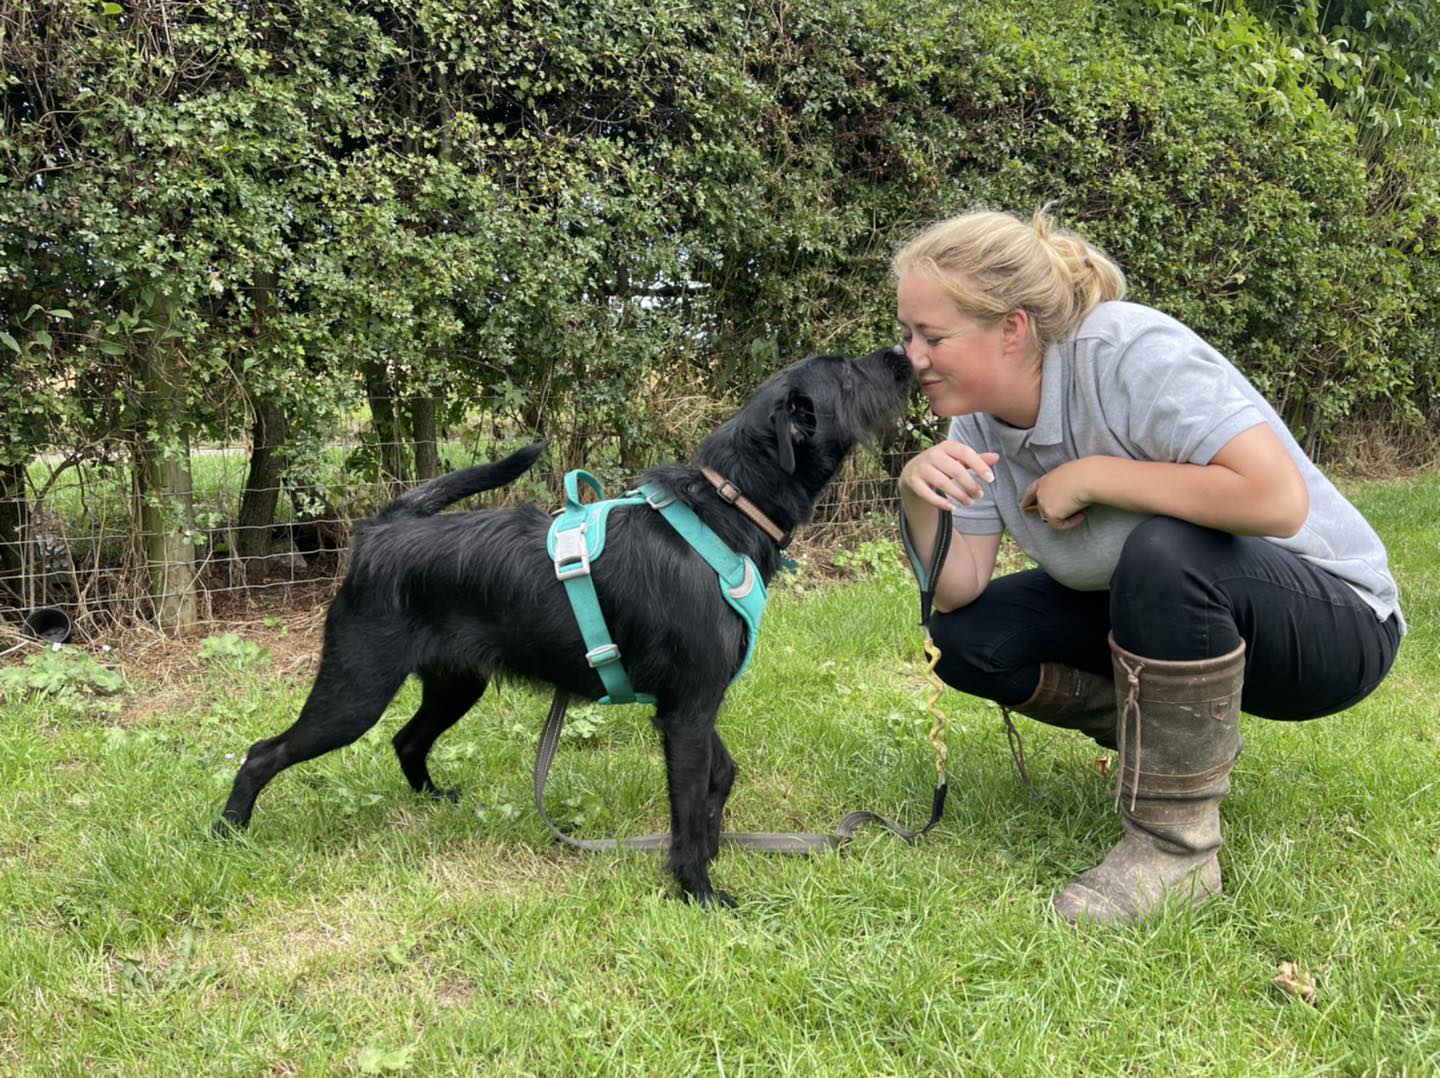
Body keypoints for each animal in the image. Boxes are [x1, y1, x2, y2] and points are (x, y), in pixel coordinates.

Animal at [213, 349, 910, 903]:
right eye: (849, 374)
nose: (901, 352)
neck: (725, 511)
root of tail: (383, 531)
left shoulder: (697, 703)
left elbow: (721, 777)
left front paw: (712, 851)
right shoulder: (686, 713)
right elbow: (688, 807)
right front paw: (698, 890)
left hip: (453, 685)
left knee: (408, 740)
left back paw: (432, 801)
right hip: (354, 692)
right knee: (263, 753)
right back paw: (228, 831)